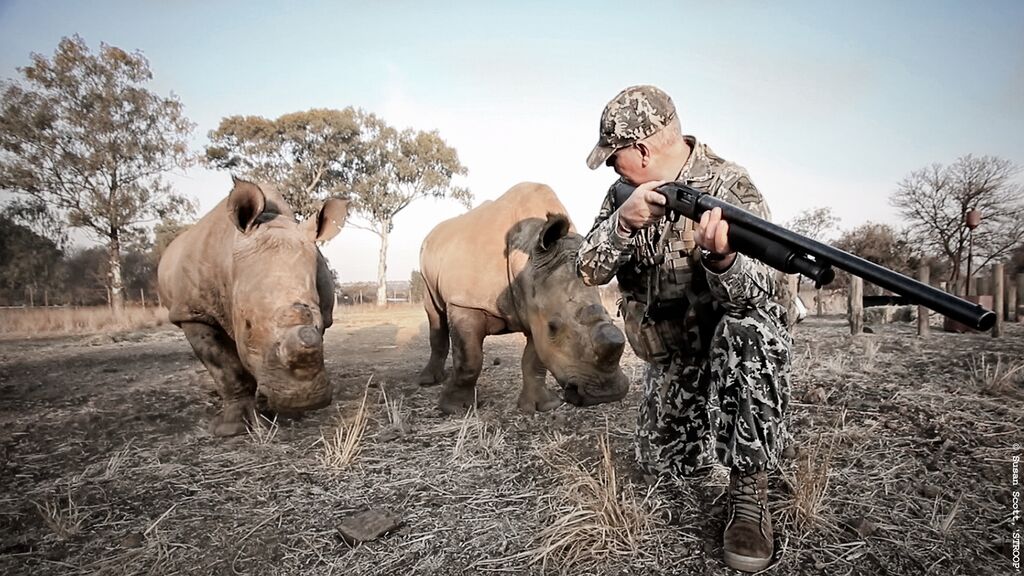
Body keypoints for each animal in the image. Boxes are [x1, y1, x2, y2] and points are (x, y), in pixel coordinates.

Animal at [158, 177, 348, 436]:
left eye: (320, 325)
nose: (304, 400)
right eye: (248, 325)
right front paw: (232, 429)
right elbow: (227, 369)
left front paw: (280, 415)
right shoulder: (193, 312)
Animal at [418, 182, 629, 415]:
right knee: (434, 314)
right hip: (426, 263)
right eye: (554, 327)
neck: (528, 259)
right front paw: (455, 409)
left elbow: (534, 360)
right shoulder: (466, 302)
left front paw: (541, 406)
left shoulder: (536, 307)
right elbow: (469, 359)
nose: (607, 394)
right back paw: (428, 381)